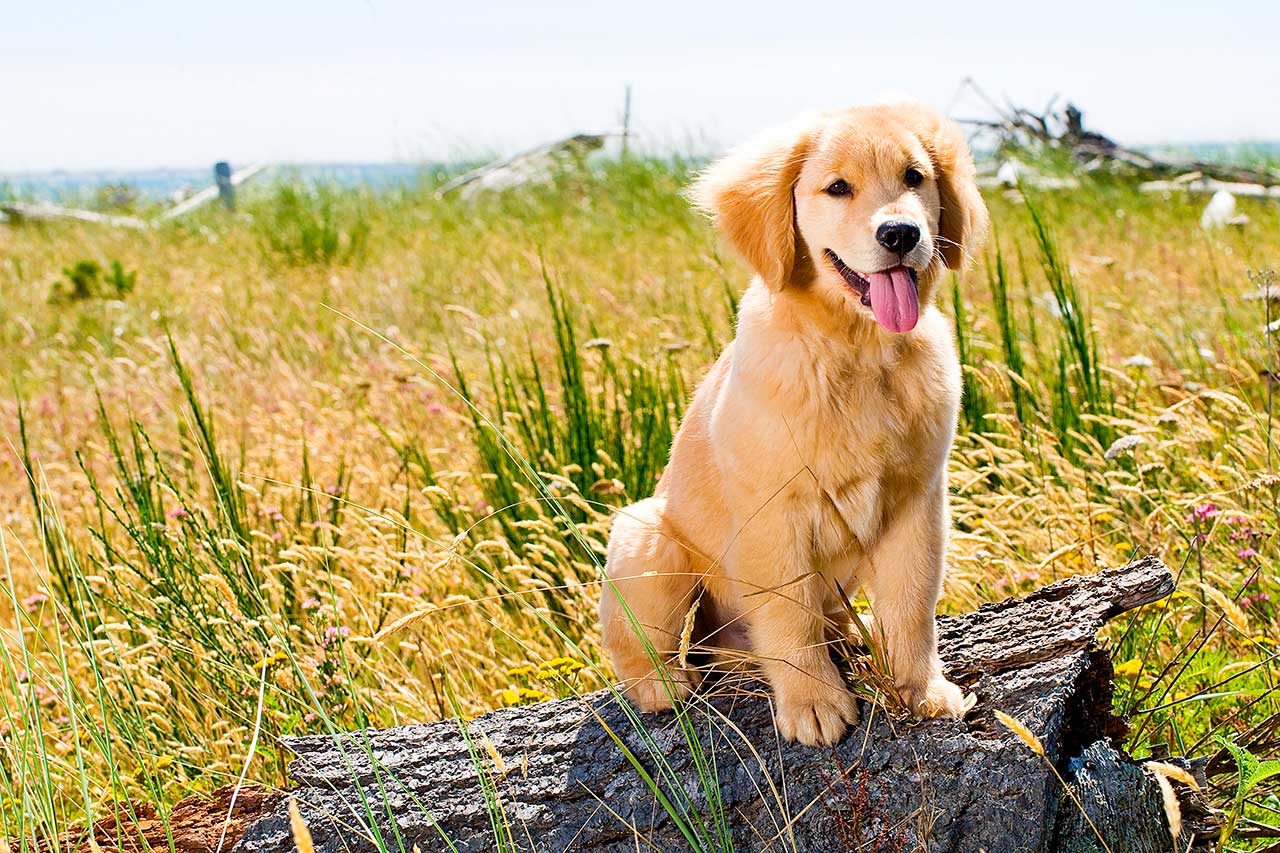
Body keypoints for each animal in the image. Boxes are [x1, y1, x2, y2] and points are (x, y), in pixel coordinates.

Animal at [599, 101, 988, 742]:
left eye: (914, 178)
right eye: (838, 188)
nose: (901, 234)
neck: (856, 351)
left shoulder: (918, 501)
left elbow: (911, 606)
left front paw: (921, 690)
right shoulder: (774, 514)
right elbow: (788, 614)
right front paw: (813, 703)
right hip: (648, 535)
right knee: (642, 643)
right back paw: (662, 685)